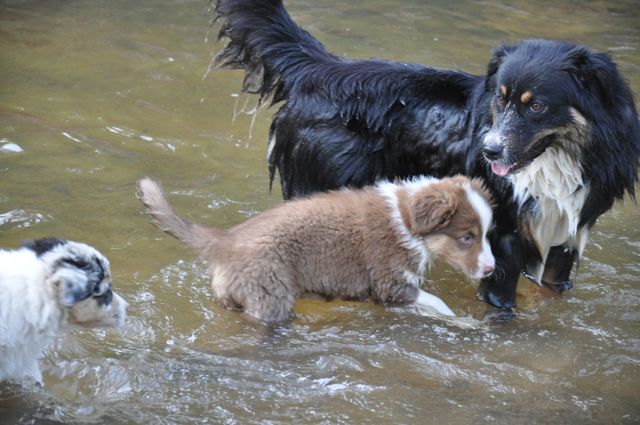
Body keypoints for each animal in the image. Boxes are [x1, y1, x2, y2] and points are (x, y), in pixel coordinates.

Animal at [136, 174, 496, 322]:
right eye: (467, 237)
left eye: (486, 233)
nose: (492, 269)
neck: (407, 219)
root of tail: (226, 241)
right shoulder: (390, 282)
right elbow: (438, 303)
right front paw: (464, 322)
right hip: (270, 294)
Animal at [212, 0, 640, 312]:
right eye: (500, 100)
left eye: (536, 106)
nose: (488, 150)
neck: (556, 162)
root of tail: (319, 69)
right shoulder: (504, 239)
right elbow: (502, 307)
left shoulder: (569, 235)